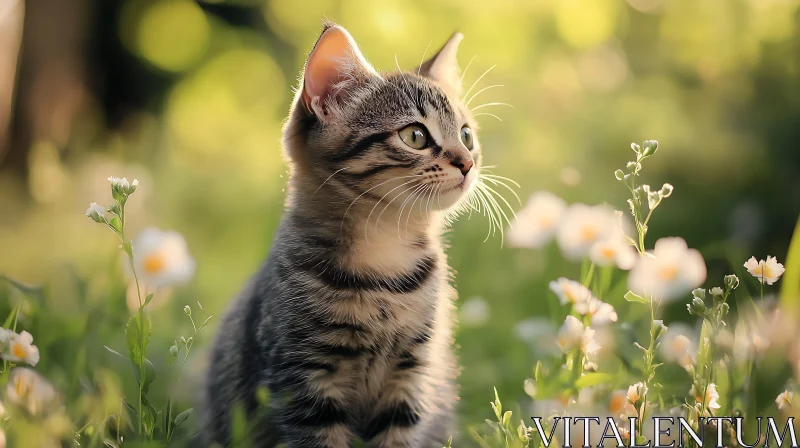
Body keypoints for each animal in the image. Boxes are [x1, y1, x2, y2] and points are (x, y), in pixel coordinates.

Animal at [203, 22, 484, 446]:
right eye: (415, 136)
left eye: (466, 136)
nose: (468, 163)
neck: (385, 256)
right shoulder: (304, 380)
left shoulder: (411, 376)